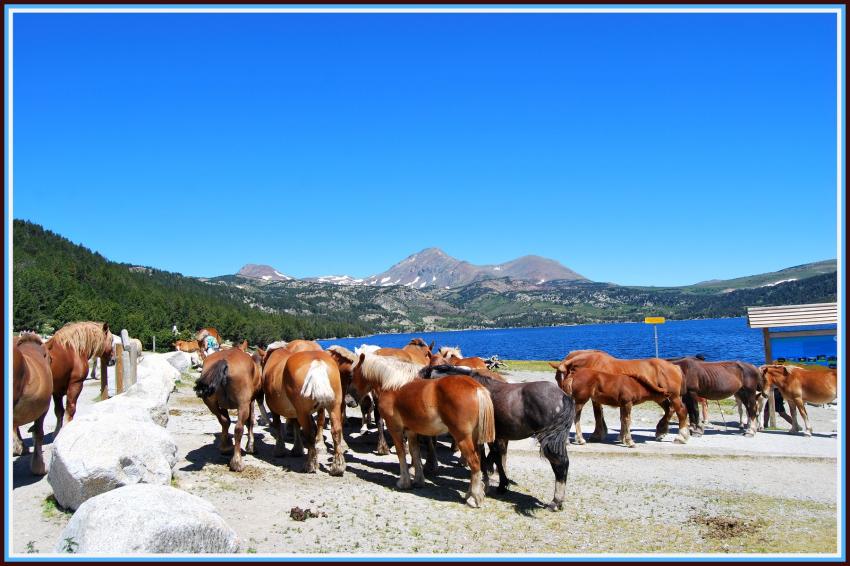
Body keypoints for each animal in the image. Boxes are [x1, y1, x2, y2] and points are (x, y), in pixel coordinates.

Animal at [264, 350, 346, 480]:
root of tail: (317, 361)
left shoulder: (274, 408)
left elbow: (278, 426)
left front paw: (279, 450)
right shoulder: (294, 411)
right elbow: (296, 426)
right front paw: (297, 449)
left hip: (302, 412)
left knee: (310, 434)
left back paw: (310, 465)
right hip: (334, 406)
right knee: (336, 431)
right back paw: (337, 467)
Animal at [348, 356, 494, 510]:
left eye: (351, 375)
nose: (348, 400)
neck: (393, 385)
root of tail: (477, 387)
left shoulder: (395, 428)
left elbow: (401, 454)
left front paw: (404, 482)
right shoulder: (411, 431)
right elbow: (415, 453)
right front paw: (418, 480)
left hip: (462, 438)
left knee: (475, 464)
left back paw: (474, 499)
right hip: (474, 438)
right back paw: (470, 494)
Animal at [420, 366, 572, 512]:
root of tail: (563, 396)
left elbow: (486, 459)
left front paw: (487, 484)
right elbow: (496, 458)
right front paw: (500, 484)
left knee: (560, 465)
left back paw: (555, 502)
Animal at [548, 350, 688, 448]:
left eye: (564, 379)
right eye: (556, 379)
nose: (564, 394)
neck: (593, 364)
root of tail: (674, 366)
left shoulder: (597, 399)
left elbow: (598, 415)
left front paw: (597, 434)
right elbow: (617, 417)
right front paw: (620, 436)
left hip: (673, 396)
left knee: (680, 411)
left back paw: (681, 436)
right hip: (660, 397)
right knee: (669, 410)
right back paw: (661, 431)